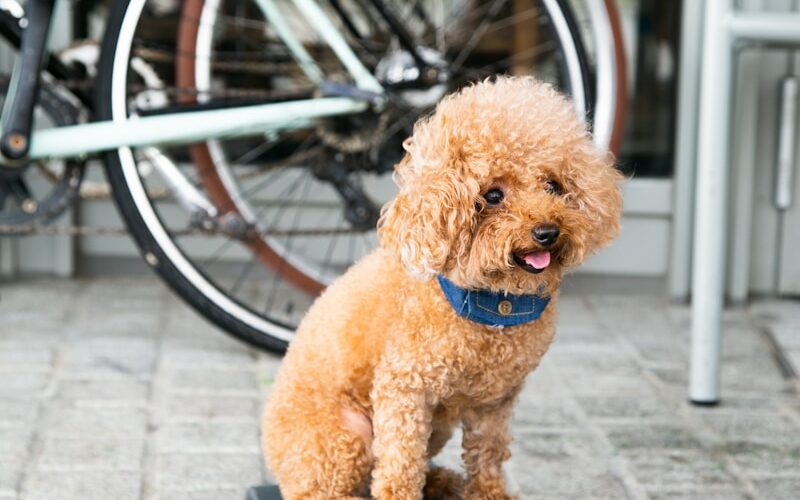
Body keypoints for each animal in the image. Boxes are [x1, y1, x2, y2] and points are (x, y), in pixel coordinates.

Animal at [262, 76, 624, 498]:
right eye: (493, 195)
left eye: (553, 185)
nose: (547, 232)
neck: (490, 305)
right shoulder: (404, 390)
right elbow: (401, 465)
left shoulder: (494, 400)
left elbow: (487, 453)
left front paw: (488, 493)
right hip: (342, 438)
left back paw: (443, 480)